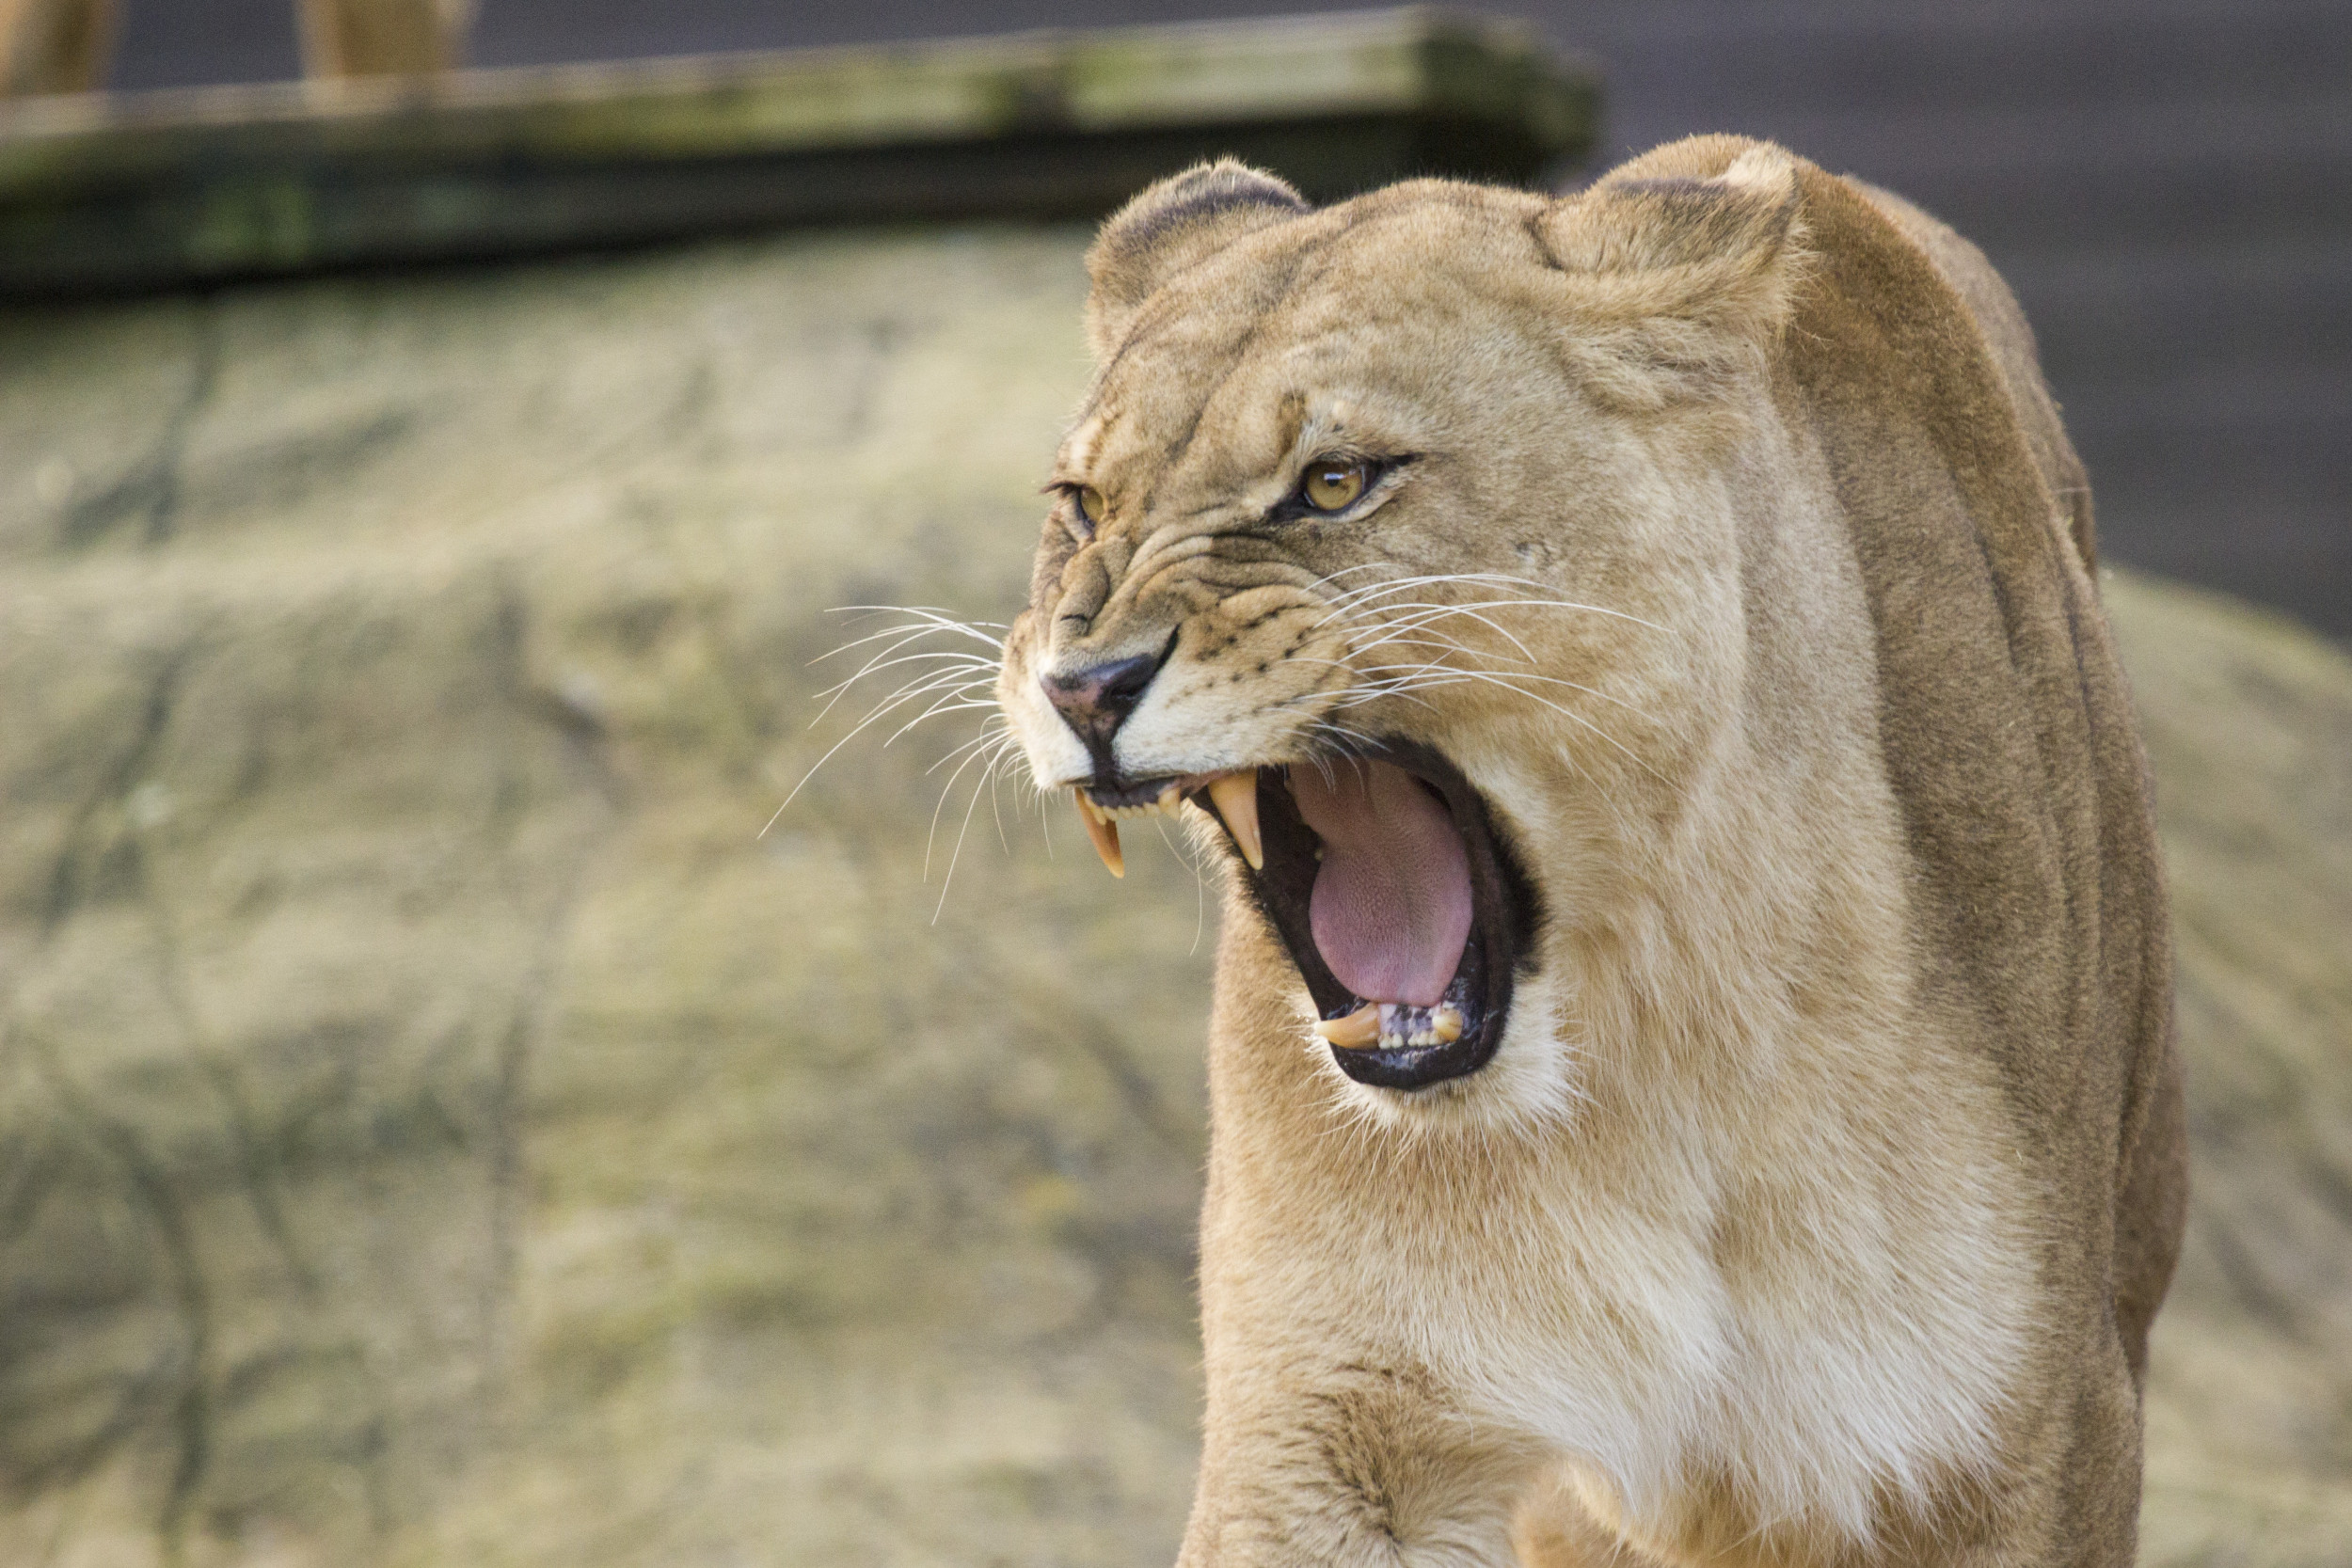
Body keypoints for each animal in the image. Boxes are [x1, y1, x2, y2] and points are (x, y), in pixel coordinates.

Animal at [992, 135, 2187, 1566]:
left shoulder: (2030, 1432)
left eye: (1337, 481)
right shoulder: (1332, 1412)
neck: (1649, 1047)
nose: (1084, 688)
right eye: (1081, 504)